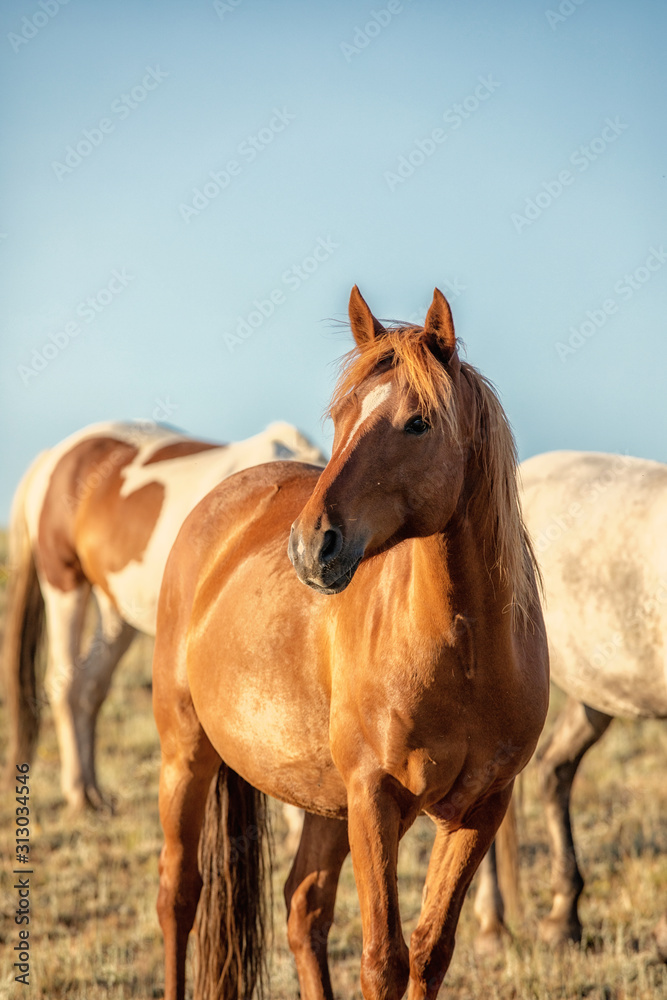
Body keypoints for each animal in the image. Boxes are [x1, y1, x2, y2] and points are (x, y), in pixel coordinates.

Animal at [1, 418, 326, 808]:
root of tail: (56, 456)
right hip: (65, 584)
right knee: (65, 683)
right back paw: (79, 793)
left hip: (117, 613)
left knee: (90, 687)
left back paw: (95, 792)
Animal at [154, 286, 552, 996]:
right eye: (340, 415)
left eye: (418, 422)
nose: (312, 546)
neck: (467, 655)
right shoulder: (374, 798)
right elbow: (382, 959)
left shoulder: (481, 808)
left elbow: (428, 952)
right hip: (186, 754)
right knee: (179, 895)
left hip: (324, 800)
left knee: (301, 911)